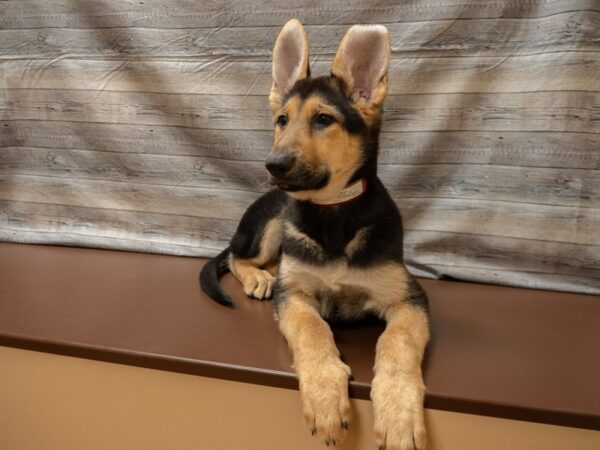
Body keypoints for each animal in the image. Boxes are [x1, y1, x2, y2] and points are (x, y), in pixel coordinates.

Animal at [202, 19, 432, 448]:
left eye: (324, 120)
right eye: (282, 120)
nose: (273, 164)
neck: (332, 213)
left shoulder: (410, 299)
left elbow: (398, 343)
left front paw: (399, 413)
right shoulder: (294, 295)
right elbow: (312, 329)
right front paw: (326, 396)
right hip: (271, 223)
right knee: (235, 254)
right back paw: (259, 277)